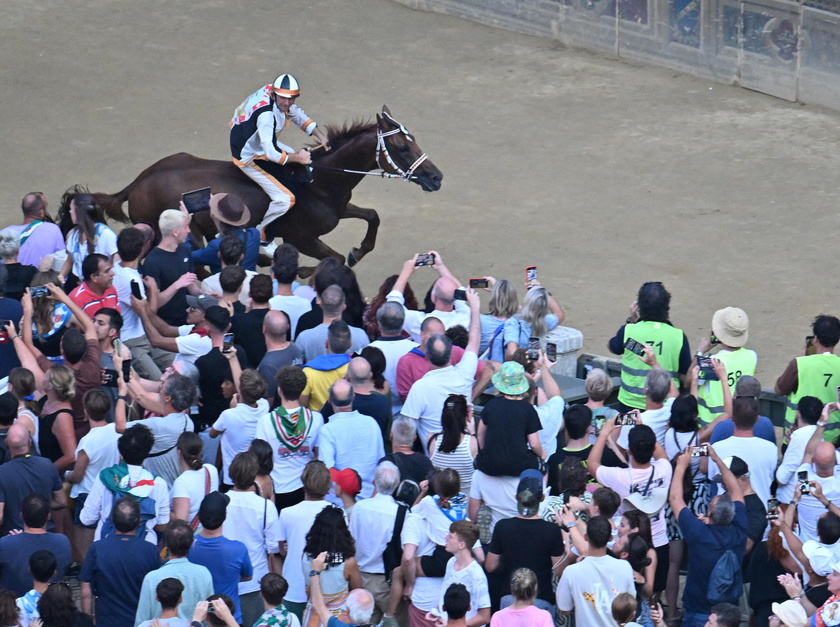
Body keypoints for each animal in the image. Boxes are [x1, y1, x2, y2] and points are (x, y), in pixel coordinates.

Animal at [92, 107, 442, 272]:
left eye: (414, 140)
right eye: (401, 147)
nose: (436, 177)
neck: (318, 182)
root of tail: (137, 183)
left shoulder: (340, 209)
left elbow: (372, 216)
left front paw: (360, 250)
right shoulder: (302, 238)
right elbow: (336, 258)